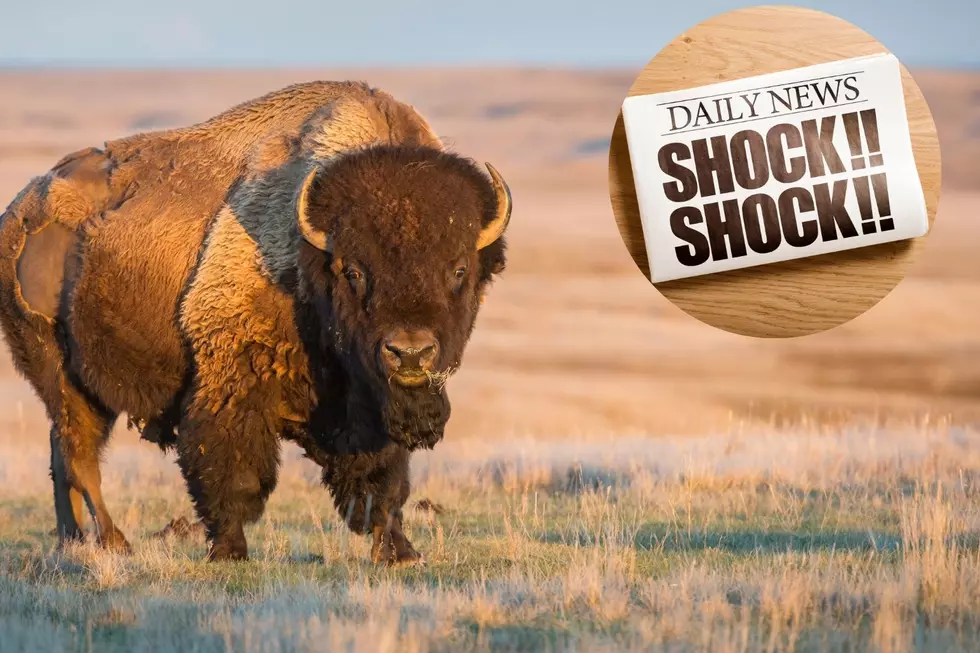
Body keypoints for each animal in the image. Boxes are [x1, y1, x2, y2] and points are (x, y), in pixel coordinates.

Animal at [0, 81, 511, 563]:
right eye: (353, 271)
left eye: (459, 270)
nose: (409, 352)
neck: (309, 259)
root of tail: (19, 210)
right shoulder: (232, 381)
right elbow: (235, 472)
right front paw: (228, 551)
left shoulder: (372, 407)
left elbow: (383, 482)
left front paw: (400, 553)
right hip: (58, 372)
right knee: (79, 454)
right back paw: (113, 542)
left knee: (62, 454)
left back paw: (71, 542)